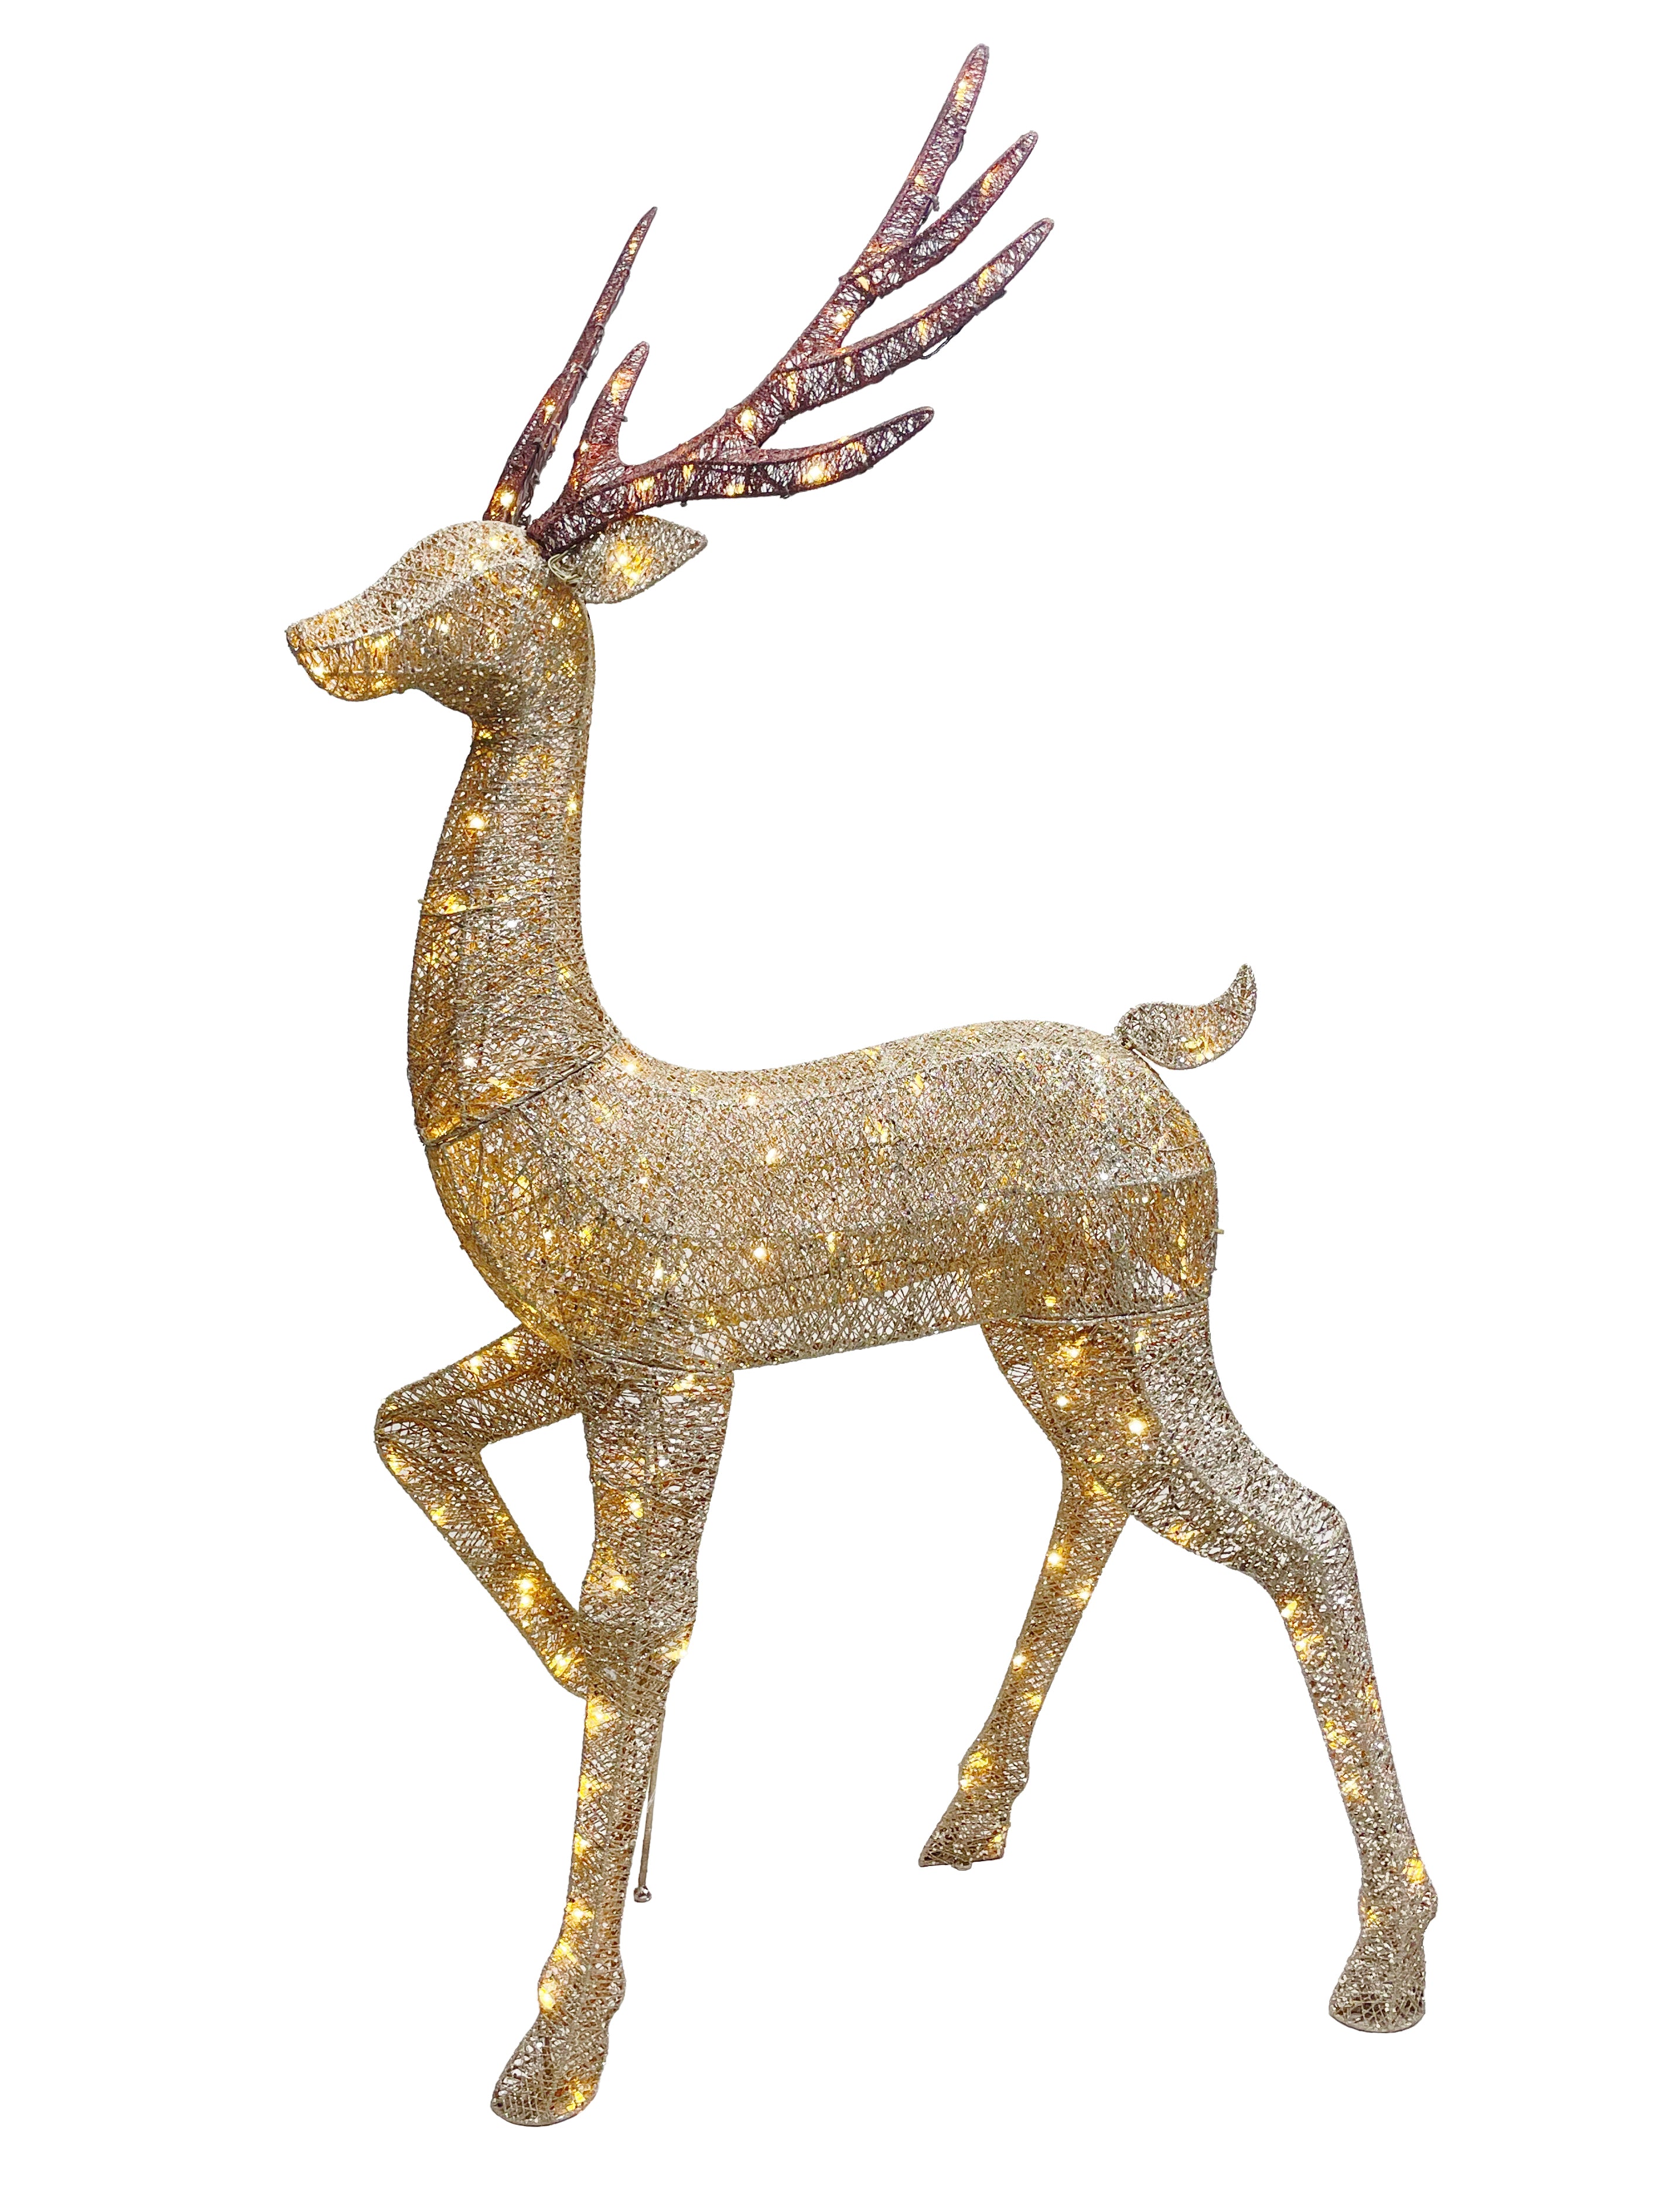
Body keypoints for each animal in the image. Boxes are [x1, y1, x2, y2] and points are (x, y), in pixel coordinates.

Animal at [286, 46, 1435, 2127]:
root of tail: (1153, 1057)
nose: (312, 633)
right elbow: (412, 1439)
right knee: (1104, 1493)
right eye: (412, 540)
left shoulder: (666, 1356)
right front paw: (616, 1811)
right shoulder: (565, 1334)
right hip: (1046, 1323)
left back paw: (1382, 1965)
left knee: (1300, 1522)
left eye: (471, 584)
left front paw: (557, 2038)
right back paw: (965, 1819)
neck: (561, 1088)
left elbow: (651, 1626)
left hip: (1152, 1300)